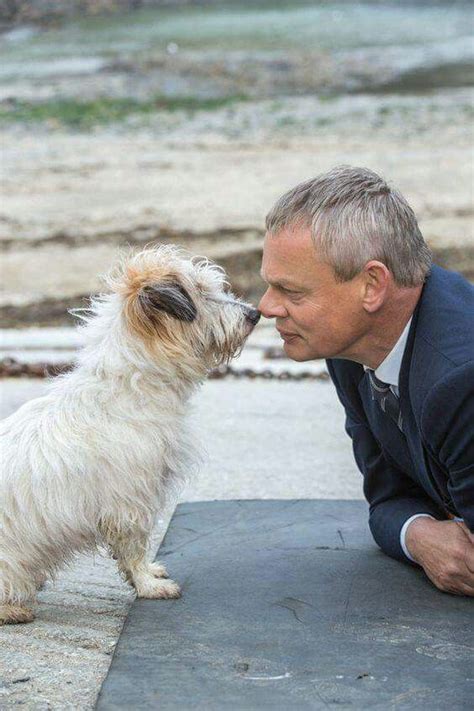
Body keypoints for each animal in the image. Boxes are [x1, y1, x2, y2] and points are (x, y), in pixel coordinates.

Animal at [0, 248, 260, 624]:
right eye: (200, 293)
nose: (255, 314)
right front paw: (147, 585)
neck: (129, 386)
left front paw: (149, 574)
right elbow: (133, 549)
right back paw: (12, 608)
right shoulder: (130, 503)